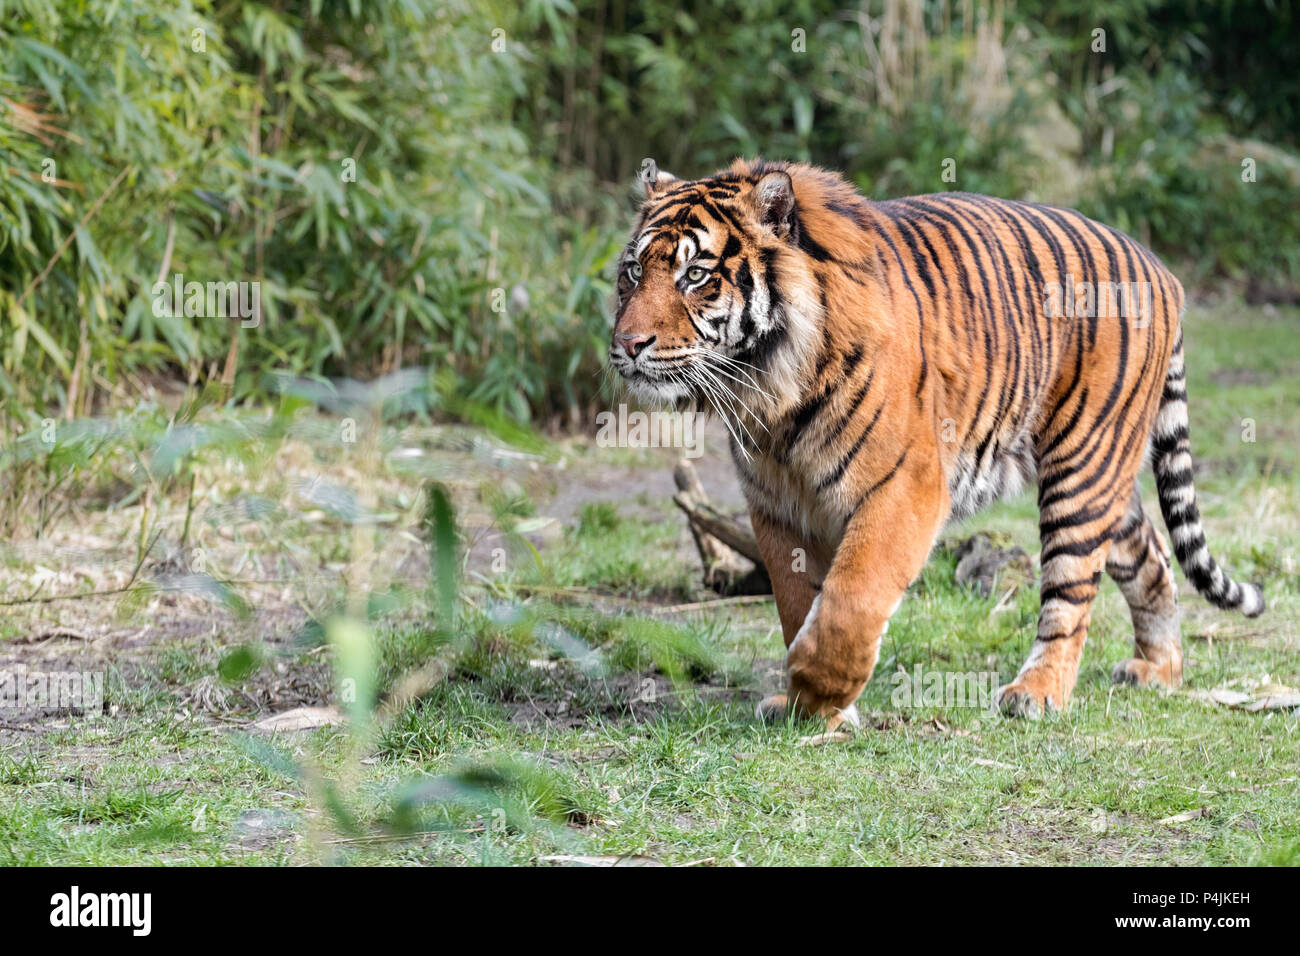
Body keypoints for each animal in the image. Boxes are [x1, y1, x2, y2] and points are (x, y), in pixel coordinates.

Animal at [605, 158, 1258, 723]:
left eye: (695, 275)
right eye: (634, 271)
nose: (628, 343)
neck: (769, 386)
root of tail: (1163, 270)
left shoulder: (905, 486)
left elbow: (850, 599)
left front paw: (818, 690)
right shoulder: (777, 505)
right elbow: (795, 601)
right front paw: (810, 707)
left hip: (1083, 470)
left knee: (1071, 594)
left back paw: (1037, 692)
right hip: (1107, 479)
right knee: (1151, 557)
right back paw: (1158, 668)